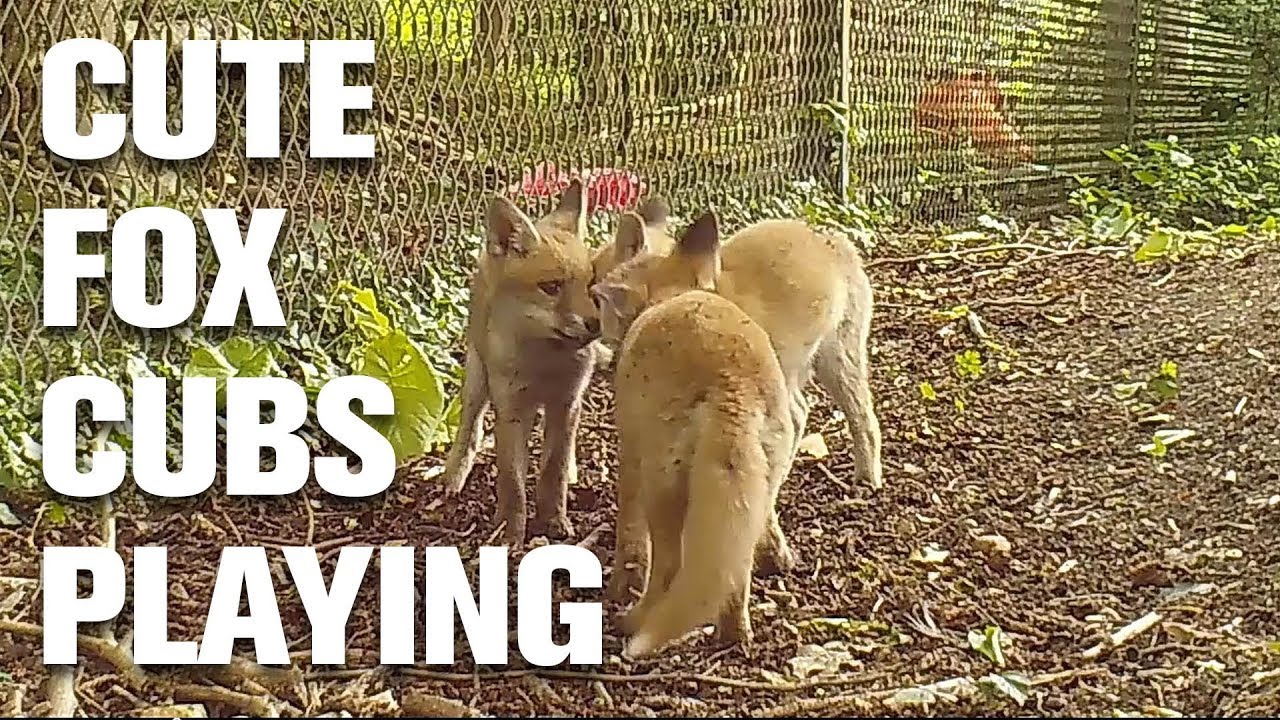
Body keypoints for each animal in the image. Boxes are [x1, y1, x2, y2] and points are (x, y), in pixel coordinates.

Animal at [438, 180, 600, 545]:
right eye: (551, 287)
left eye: (590, 286)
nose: (596, 324)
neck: (545, 366)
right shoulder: (511, 408)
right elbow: (512, 482)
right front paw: (509, 533)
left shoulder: (567, 401)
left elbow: (553, 471)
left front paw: (554, 520)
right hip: (477, 381)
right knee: (470, 431)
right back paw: (454, 476)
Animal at [590, 215, 796, 658]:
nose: (591, 299)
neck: (674, 294)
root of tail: (732, 387)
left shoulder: (631, 457)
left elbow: (631, 544)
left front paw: (619, 589)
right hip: (762, 486)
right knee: (736, 576)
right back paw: (734, 638)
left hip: (662, 488)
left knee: (668, 569)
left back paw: (633, 623)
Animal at [593, 208, 883, 601]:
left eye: (595, 274)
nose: (586, 306)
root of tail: (829, 236)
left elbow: (632, 523)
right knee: (802, 416)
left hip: (838, 361)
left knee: (864, 421)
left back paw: (867, 478)